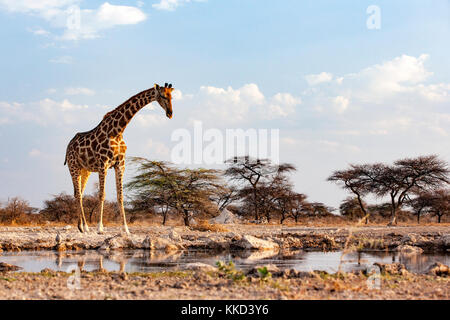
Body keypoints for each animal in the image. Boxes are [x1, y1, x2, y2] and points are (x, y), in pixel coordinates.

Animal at [64, 83, 175, 235]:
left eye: (172, 97)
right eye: (163, 96)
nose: (170, 113)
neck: (118, 131)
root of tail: (68, 146)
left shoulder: (120, 165)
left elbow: (120, 196)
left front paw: (126, 229)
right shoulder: (103, 164)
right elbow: (102, 194)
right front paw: (100, 228)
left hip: (85, 170)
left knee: (78, 193)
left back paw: (81, 226)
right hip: (73, 167)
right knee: (79, 195)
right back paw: (86, 227)